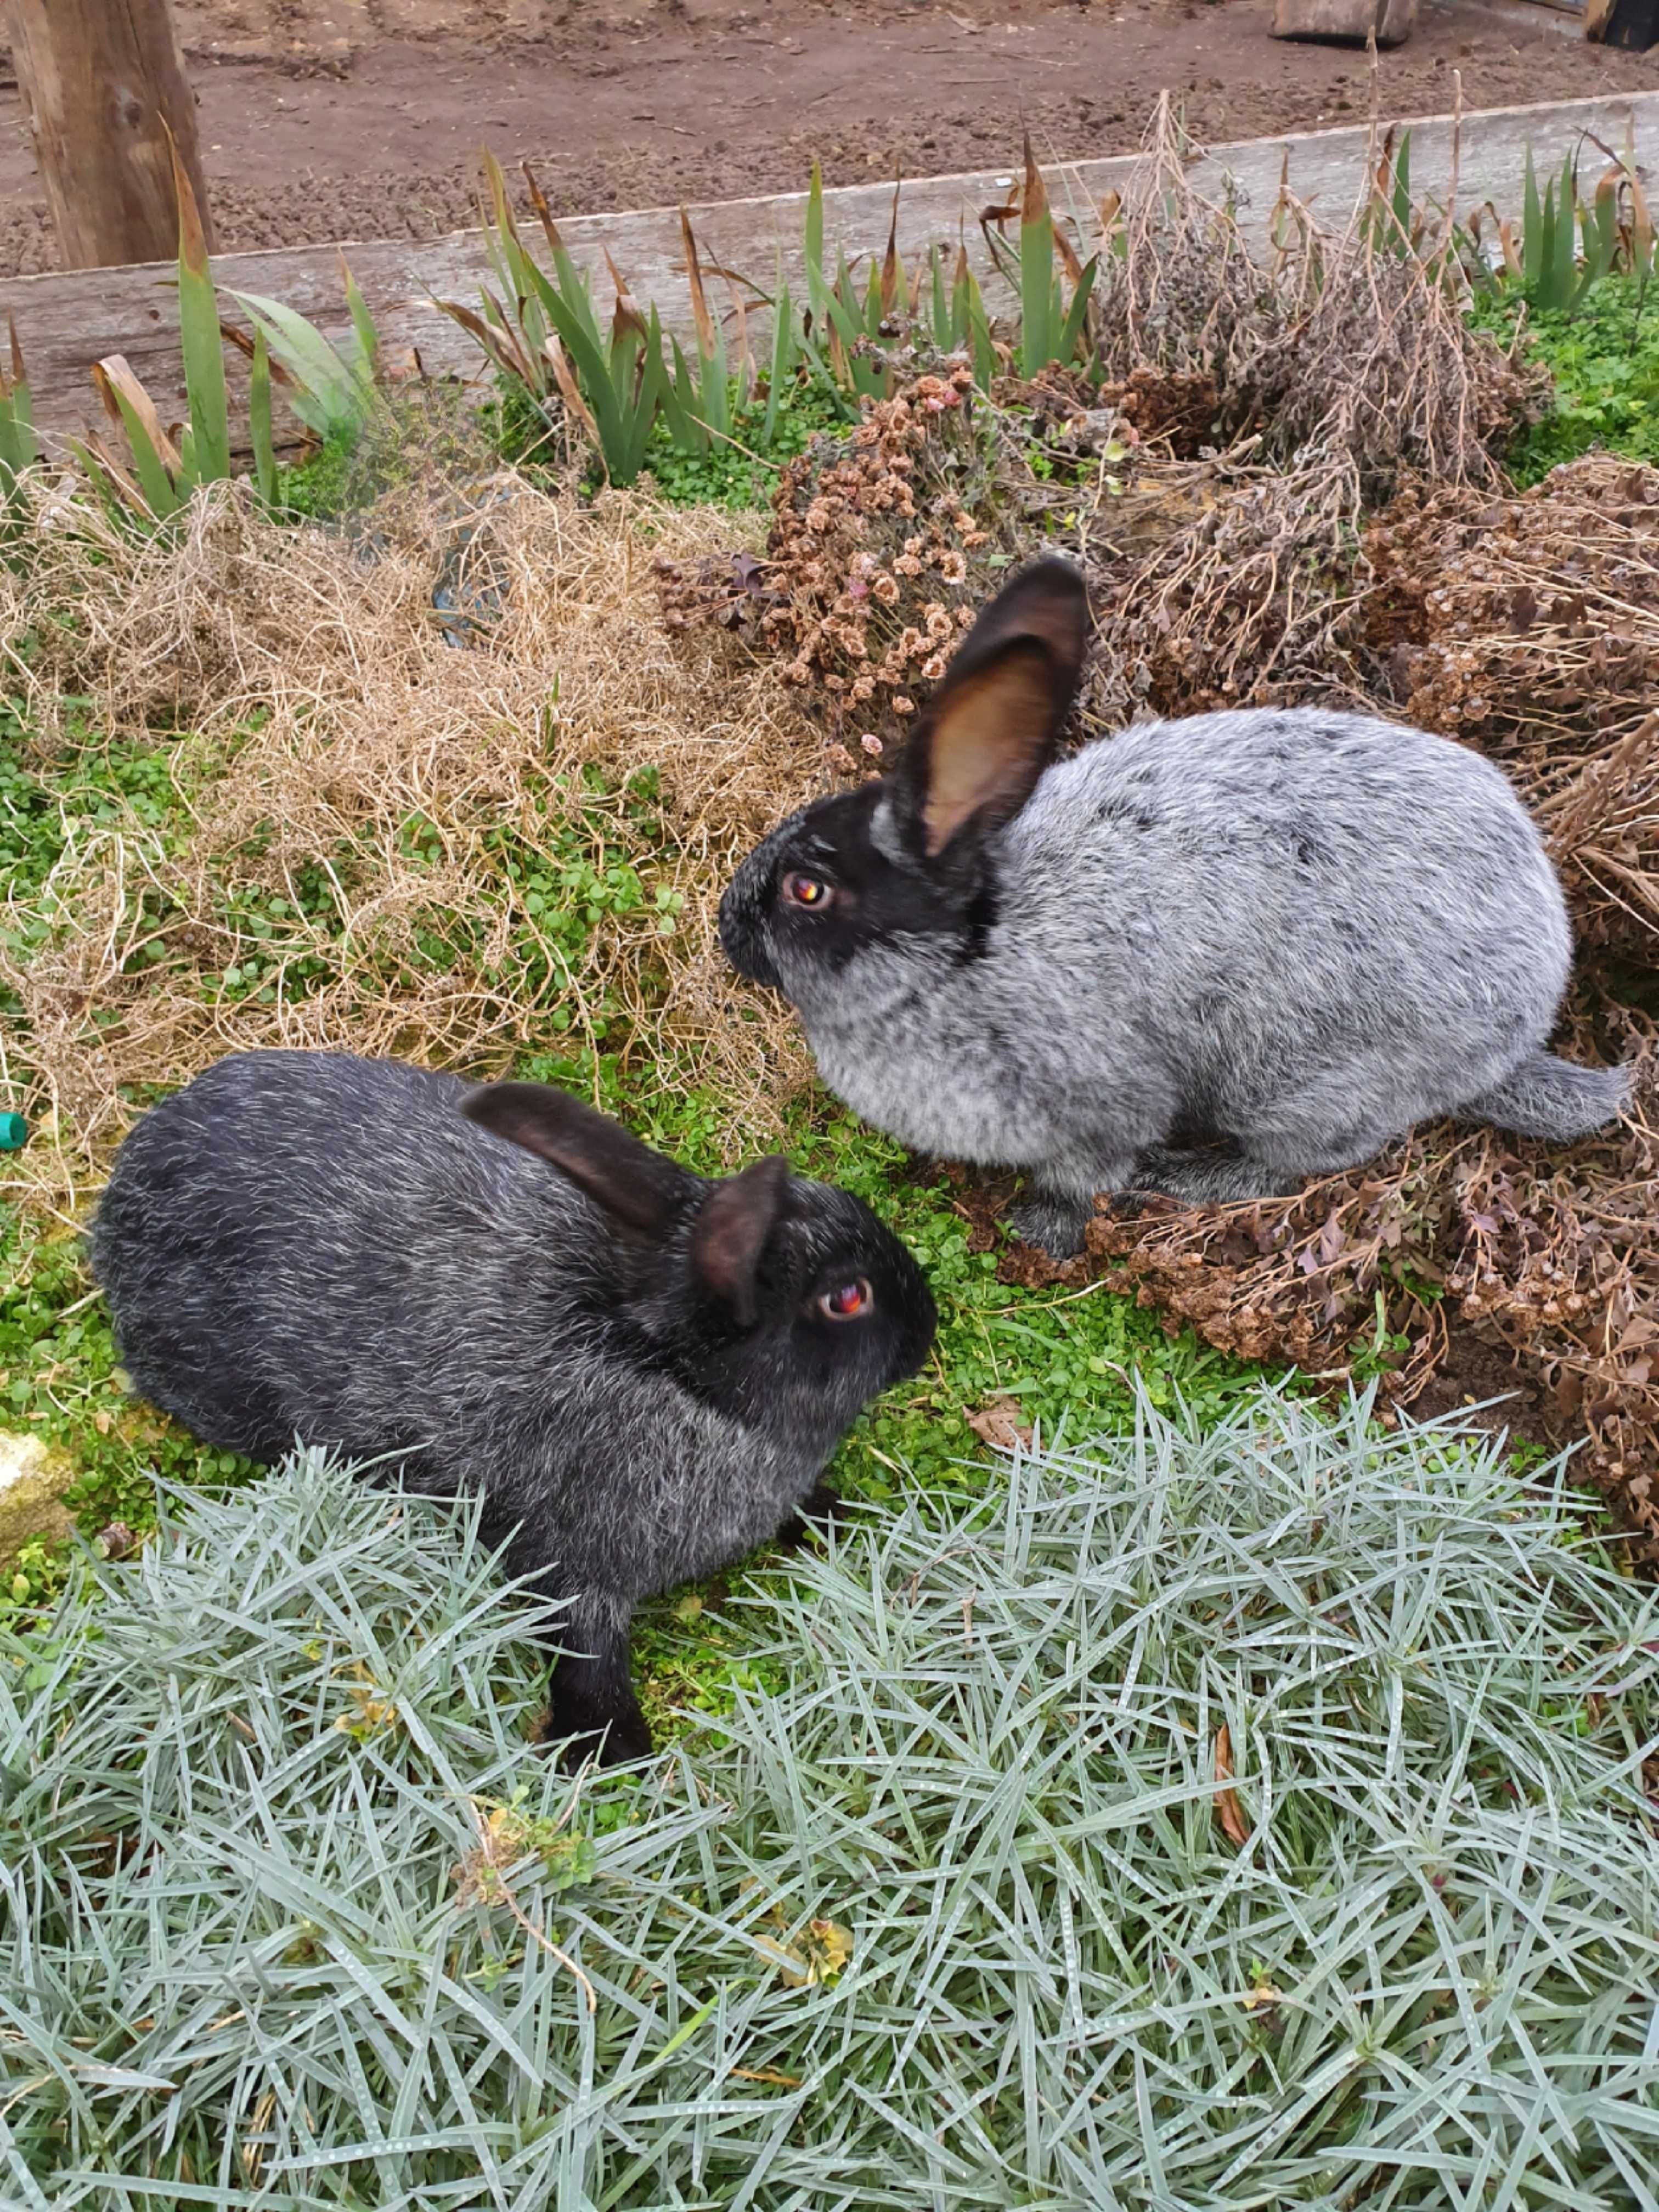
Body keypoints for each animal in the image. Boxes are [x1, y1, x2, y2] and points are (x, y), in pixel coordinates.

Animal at [91, 1053, 942, 1760]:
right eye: (846, 1299)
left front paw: (844, 1516)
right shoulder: (565, 1561)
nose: (927, 1331)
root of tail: (115, 1206)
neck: (671, 1372)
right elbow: (583, 1646)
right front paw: (613, 1750)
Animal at [721, 557, 1628, 1265]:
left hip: (1304, 1085)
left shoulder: (1101, 1107)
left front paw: (1039, 1233)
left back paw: (1191, 1178)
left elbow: (1087, 1174)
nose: (728, 929)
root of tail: (1522, 1022)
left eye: (807, 890)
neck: (965, 954)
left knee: (1300, 1161)